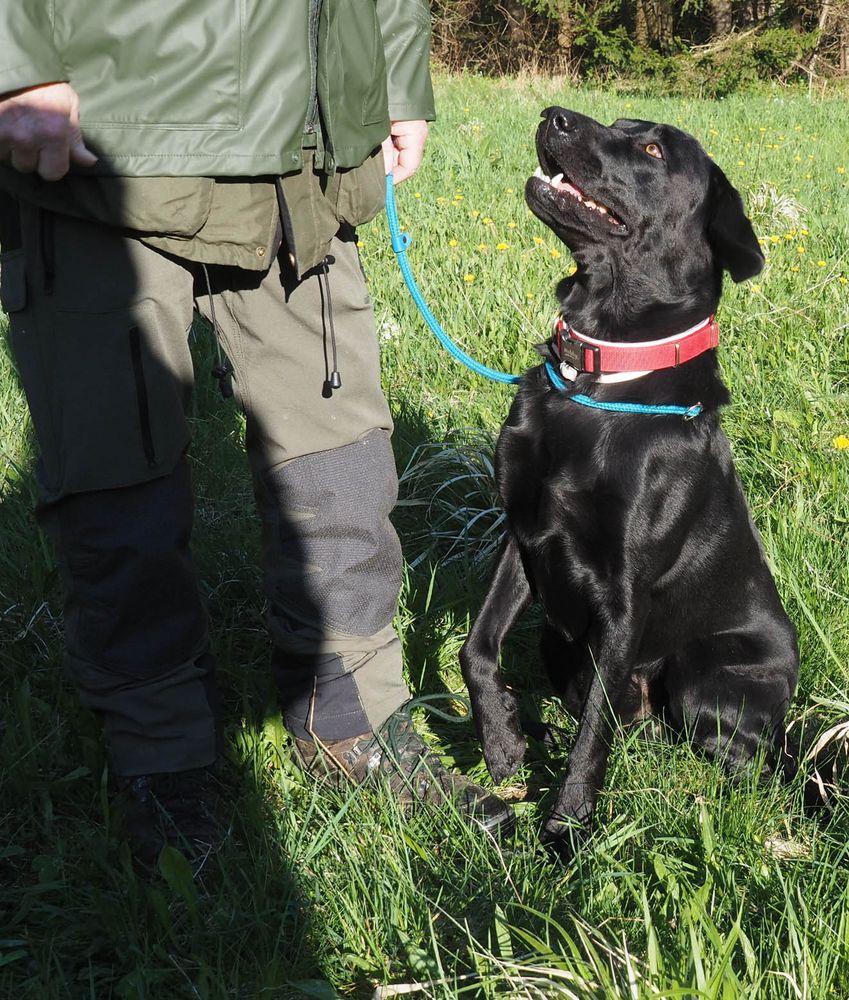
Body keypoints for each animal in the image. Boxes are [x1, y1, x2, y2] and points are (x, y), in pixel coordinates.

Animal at [460, 107, 800, 855]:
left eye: (650, 148)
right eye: (618, 123)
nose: (551, 114)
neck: (601, 376)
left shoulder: (623, 595)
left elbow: (592, 735)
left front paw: (565, 831)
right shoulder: (523, 536)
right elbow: (477, 648)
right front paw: (502, 743)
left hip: (706, 677)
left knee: (737, 762)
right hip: (556, 639)